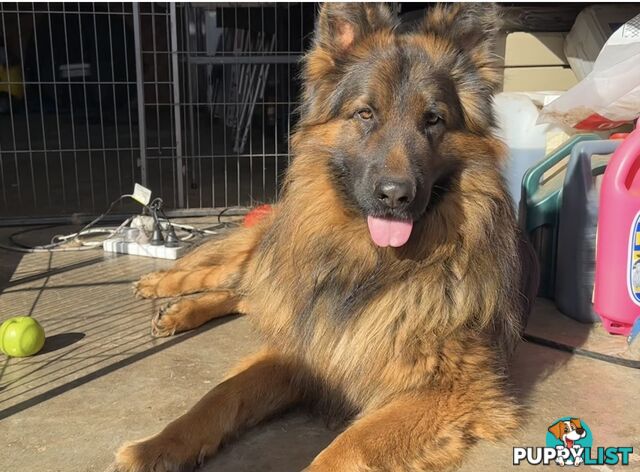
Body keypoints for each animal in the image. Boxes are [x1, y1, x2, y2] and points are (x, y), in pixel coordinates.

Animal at [109, 4, 536, 472]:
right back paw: (165, 291)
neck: (368, 266)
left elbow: (349, 446)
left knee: (244, 296)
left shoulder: (450, 391)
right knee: (225, 280)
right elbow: (218, 396)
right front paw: (158, 446)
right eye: (365, 114)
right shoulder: (301, 348)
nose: (395, 196)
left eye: (433, 120)